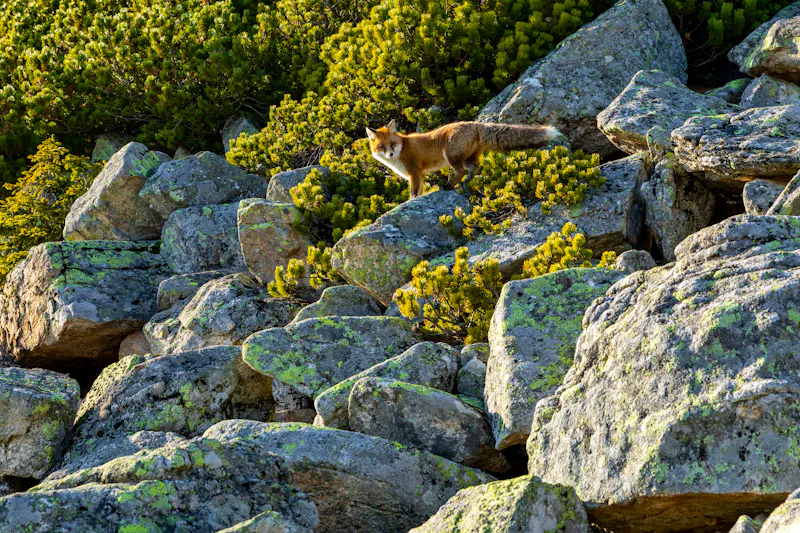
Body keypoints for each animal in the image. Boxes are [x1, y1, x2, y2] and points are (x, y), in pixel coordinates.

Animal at [366, 119, 560, 198]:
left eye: (392, 144)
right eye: (382, 147)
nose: (390, 154)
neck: (403, 148)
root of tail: (476, 123)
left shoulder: (414, 173)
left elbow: (413, 194)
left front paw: (410, 202)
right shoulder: (420, 176)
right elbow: (419, 192)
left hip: (451, 156)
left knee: (459, 171)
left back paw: (449, 186)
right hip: (468, 157)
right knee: (475, 167)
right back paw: (466, 182)